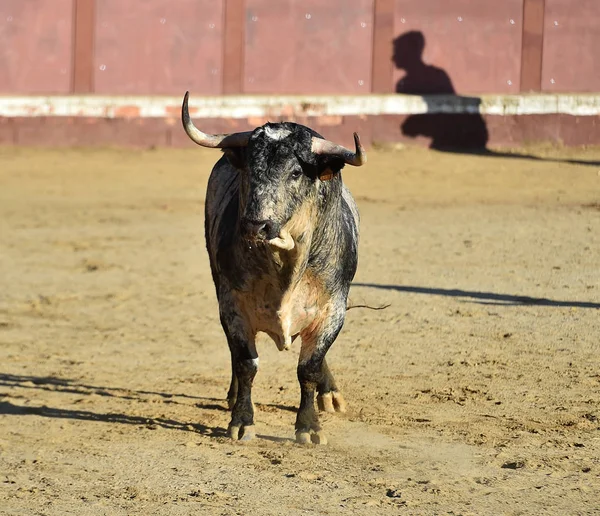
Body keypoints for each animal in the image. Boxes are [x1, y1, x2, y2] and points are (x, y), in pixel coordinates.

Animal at [180, 91, 366, 444]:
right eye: (249, 171)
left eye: (295, 172)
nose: (257, 225)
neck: (284, 267)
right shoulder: (232, 306)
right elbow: (246, 363)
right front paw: (242, 421)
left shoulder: (333, 309)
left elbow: (309, 367)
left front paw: (308, 427)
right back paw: (232, 396)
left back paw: (330, 394)